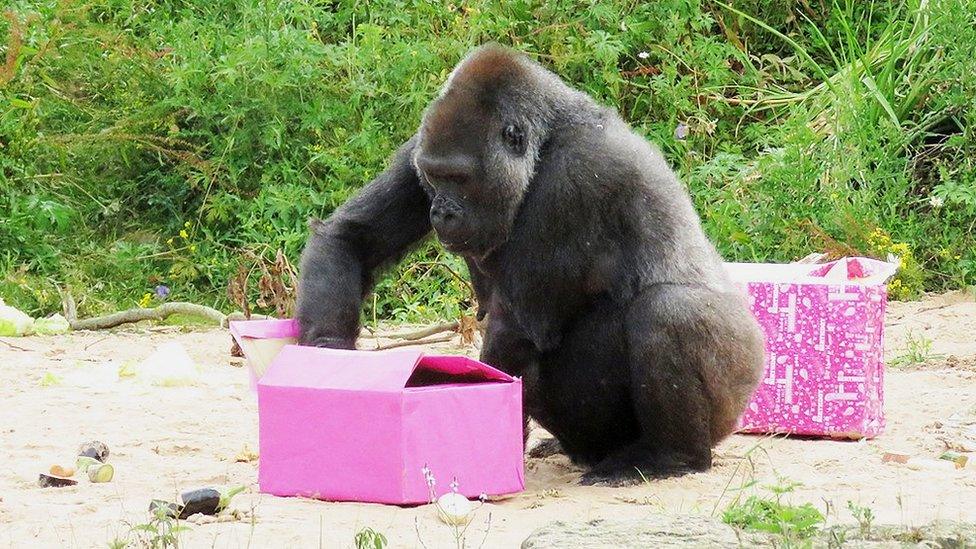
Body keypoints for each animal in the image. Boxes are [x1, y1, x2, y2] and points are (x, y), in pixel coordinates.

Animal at [294, 44, 768, 484]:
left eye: (460, 179)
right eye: (435, 175)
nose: (441, 211)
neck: (548, 137)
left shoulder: (575, 178)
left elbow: (517, 329)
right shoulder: (419, 145)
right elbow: (351, 239)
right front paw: (327, 354)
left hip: (737, 378)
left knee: (669, 310)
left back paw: (670, 456)